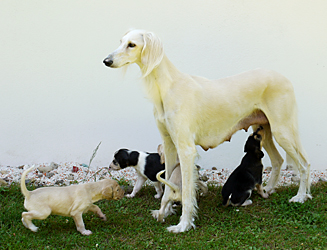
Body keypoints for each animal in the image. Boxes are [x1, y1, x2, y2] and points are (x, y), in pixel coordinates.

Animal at [104, 28, 312, 232]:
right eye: (121, 41)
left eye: (132, 45)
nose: (106, 61)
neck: (169, 87)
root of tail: (285, 78)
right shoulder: (169, 145)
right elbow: (168, 183)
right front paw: (166, 211)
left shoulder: (186, 149)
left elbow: (186, 192)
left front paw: (184, 224)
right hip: (263, 130)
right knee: (278, 160)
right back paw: (268, 190)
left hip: (282, 130)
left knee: (304, 164)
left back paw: (301, 196)